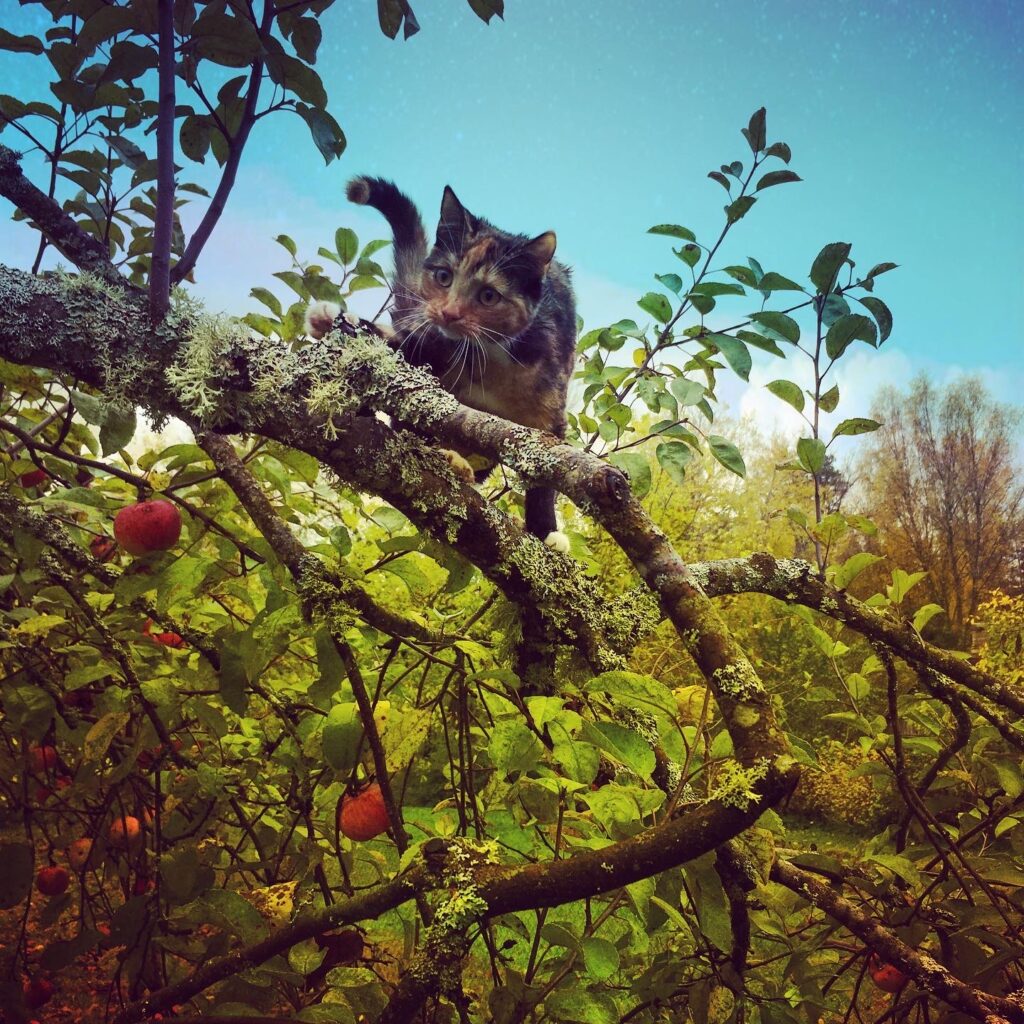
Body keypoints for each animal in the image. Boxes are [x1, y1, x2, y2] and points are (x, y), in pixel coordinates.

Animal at [303, 176, 577, 552]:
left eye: (489, 295)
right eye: (444, 277)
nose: (448, 313)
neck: (490, 357)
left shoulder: (551, 406)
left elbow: (546, 471)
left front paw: (546, 531)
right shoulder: (430, 345)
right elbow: (405, 375)